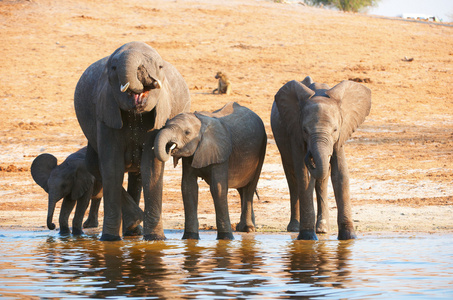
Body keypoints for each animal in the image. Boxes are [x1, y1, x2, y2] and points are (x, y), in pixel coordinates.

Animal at [73, 40, 189, 241]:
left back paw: (133, 231)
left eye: (159, 67)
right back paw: (131, 227)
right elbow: (112, 167)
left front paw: (156, 239)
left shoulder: (158, 118)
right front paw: (110, 239)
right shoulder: (106, 111)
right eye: (113, 68)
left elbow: (151, 167)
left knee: (138, 174)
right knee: (95, 166)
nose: (142, 72)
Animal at [155, 102, 268, 240]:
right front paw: (190, 238)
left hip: (261, 148)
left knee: (249, 188)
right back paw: (243, 228)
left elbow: (217, 189)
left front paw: (226, 238)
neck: (201, 123)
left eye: (187, 132)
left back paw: (248, 229)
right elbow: (188, 188)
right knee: (242, 189)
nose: (170, 148)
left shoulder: (221, 153)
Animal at [270, 77, 370, 241]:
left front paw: (349, 237)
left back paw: (322, 229)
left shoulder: (341, 135)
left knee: (322, 180)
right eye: (305, 130)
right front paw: (307, 237)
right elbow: (304, 176)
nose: (310, 156)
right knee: (292, 178)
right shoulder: (295, 133)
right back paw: (294, 228)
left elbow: (340, 174)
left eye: (335, 129)